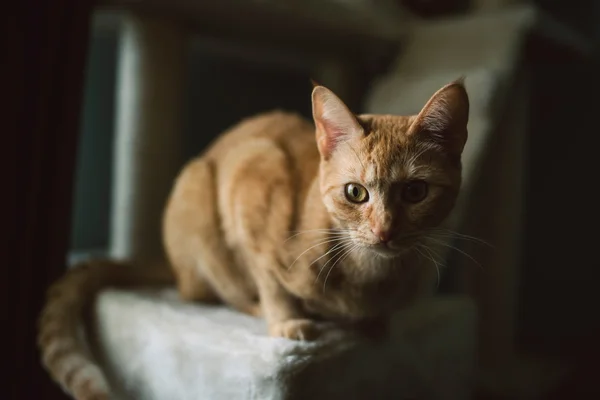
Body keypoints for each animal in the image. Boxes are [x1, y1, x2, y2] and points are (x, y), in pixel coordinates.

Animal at [37, 79, 468, 400]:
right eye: (355, 192)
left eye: (415, 192)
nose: (384, 230)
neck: (370, 275)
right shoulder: (253, 177)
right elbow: (270, 282)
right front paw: (287, 321)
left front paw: (375, 323)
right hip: (201, 199)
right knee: (210, 293)